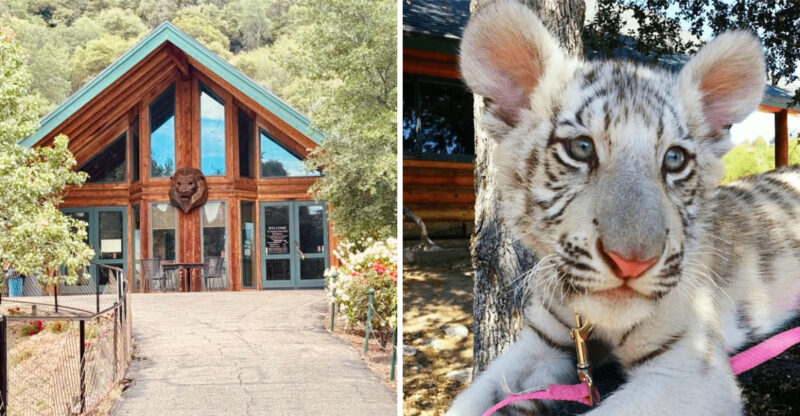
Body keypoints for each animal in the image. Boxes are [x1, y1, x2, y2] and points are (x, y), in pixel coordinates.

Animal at [446, 1, 800, 415]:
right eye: (581, 148)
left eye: (674, 159)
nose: (632, 263)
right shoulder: (542, 341)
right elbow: (472, 399)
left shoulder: (689, 369)